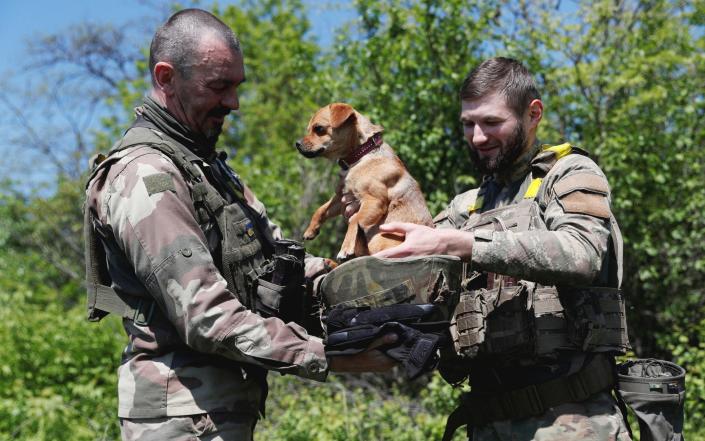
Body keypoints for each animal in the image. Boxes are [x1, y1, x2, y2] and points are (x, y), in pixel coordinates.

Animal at [294, 102, 432, 262]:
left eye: (319, 129)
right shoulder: (341, 198)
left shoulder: (374, 201)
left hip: (381, 237)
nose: (297, 143)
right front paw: (311, 229)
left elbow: (355, 219)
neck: (360, 155)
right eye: (309, 129)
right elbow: (321, 209)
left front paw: (345, 247)